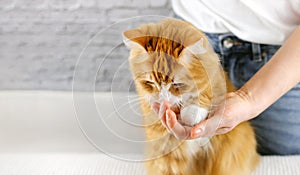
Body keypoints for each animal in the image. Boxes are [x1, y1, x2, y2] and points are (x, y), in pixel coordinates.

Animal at [123, 18, 258, 174]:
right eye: (149, 83)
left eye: (177, 84)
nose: (163, 98)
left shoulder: (215, 74)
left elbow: (204, 92)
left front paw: (190, 115)